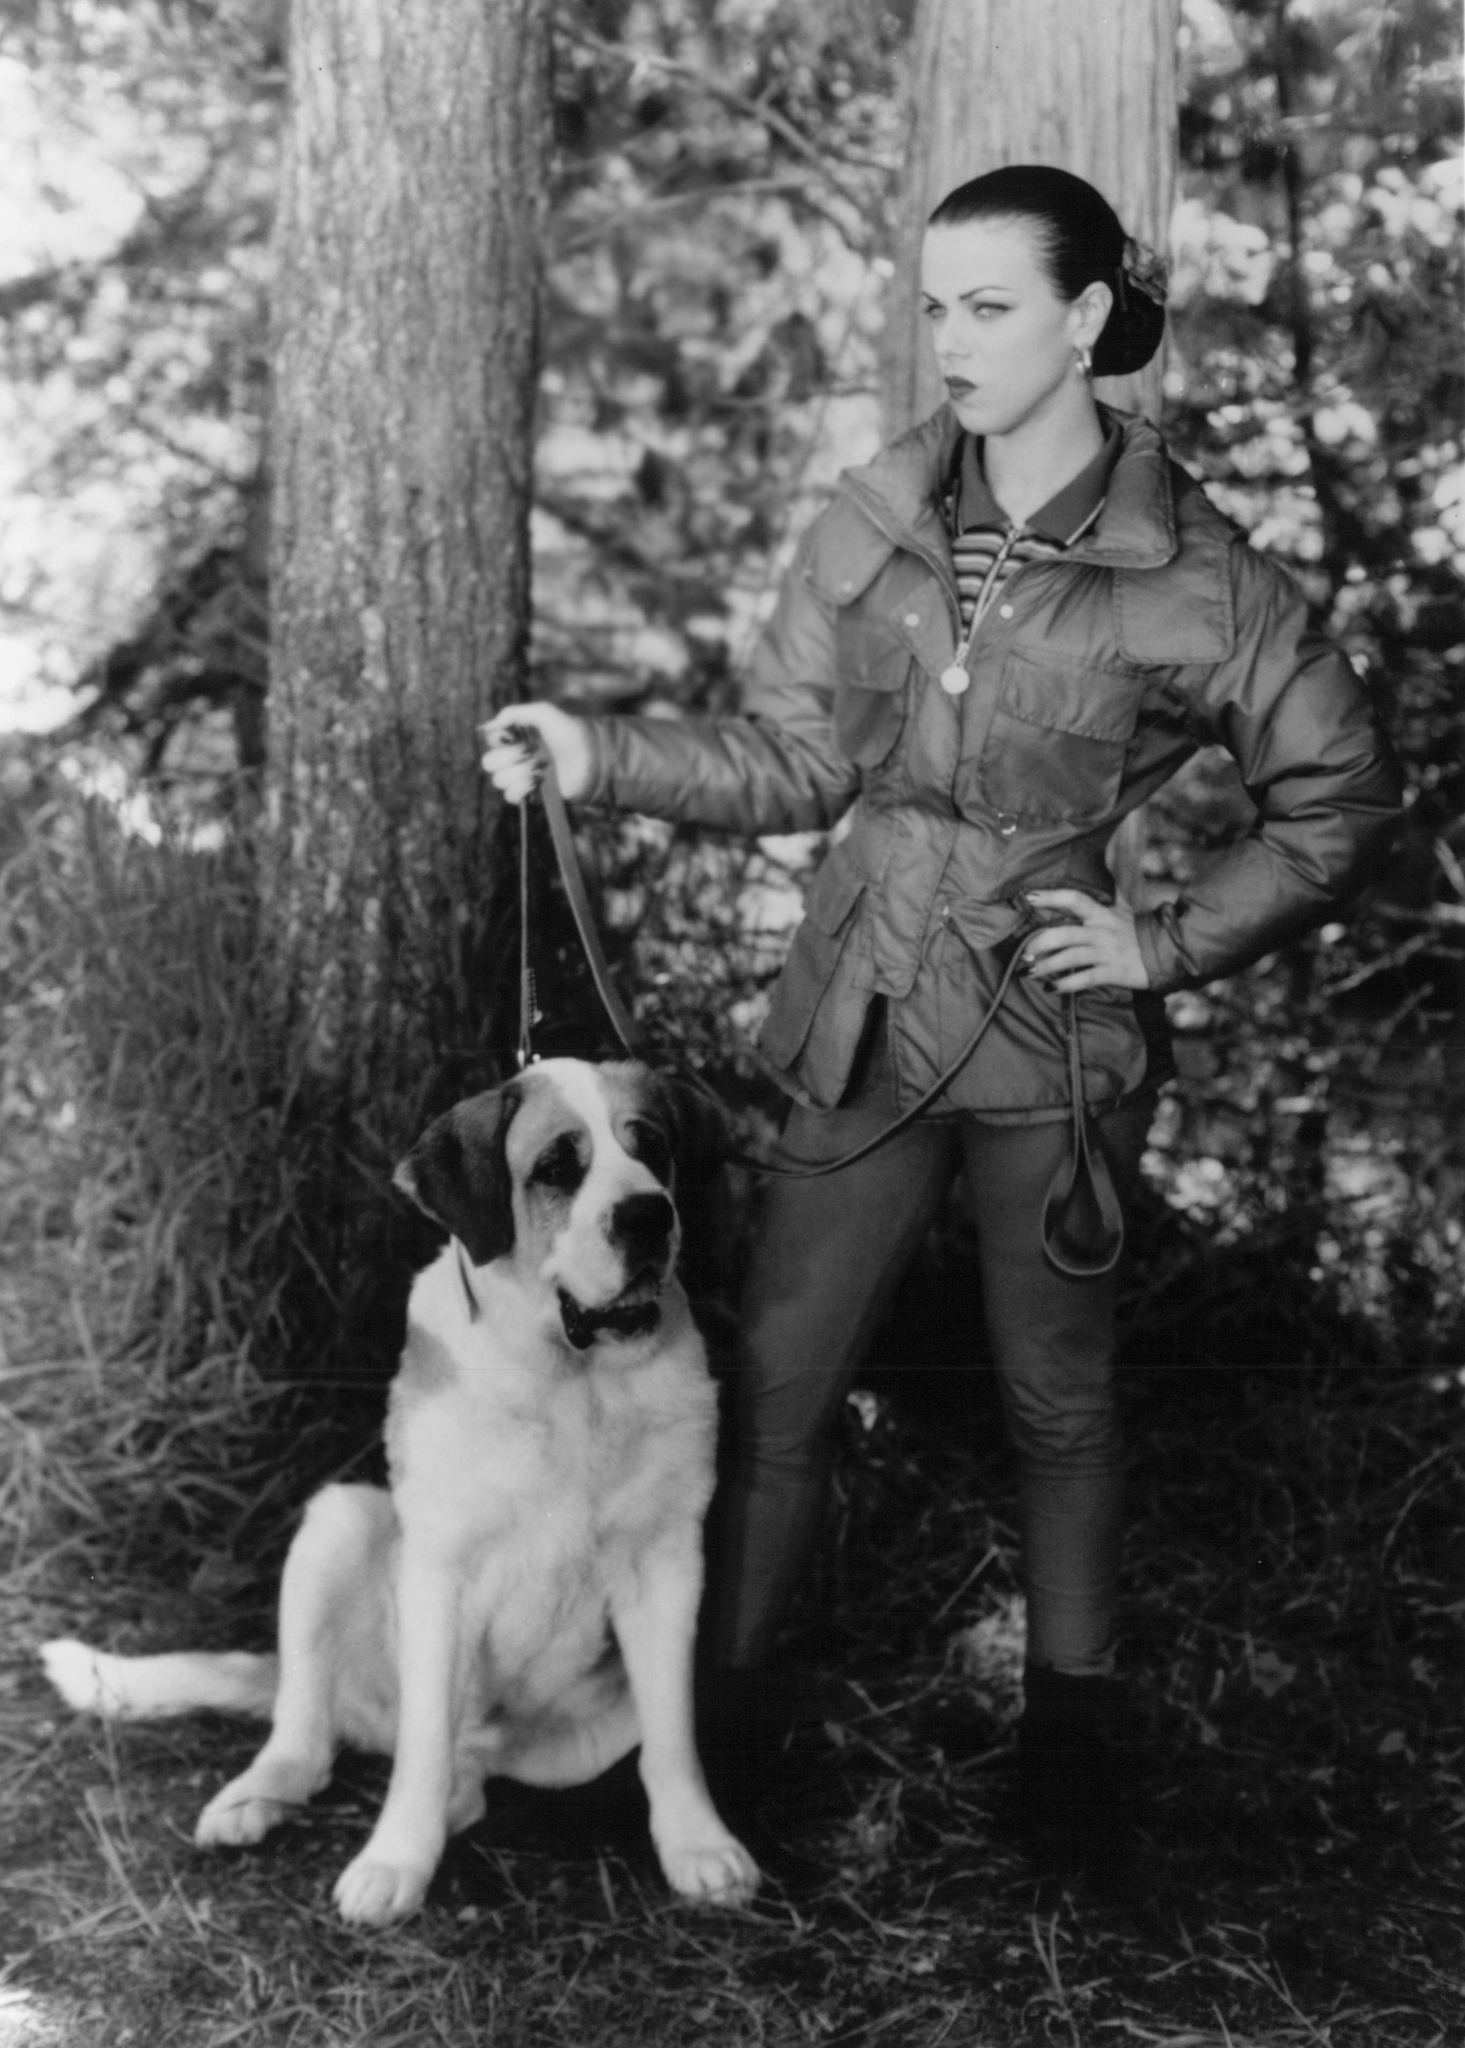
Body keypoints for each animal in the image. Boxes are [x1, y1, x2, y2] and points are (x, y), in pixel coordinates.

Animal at [41, 1064, 762, 1925]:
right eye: (557, 1167)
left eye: (650, 1146)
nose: (649, 1214)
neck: (569, 1379)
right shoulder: (438, 1576)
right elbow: (421, 1741)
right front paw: (393, 1862)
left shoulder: (668, 1565)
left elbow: (673, 1733)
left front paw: (699, 1846)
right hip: (338, 1525)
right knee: (307, 1731)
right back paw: (256, 1800)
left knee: (474, 1775)